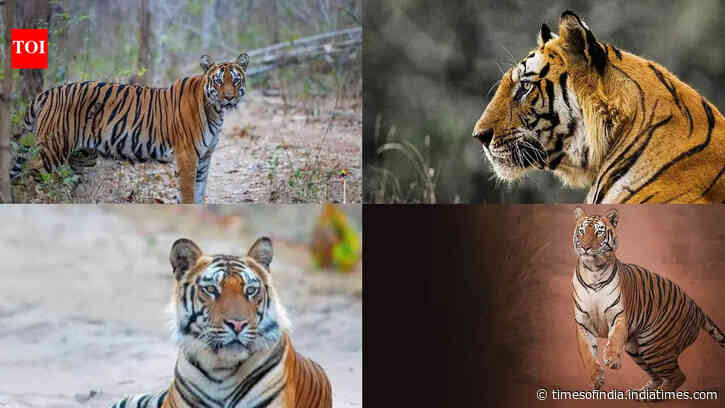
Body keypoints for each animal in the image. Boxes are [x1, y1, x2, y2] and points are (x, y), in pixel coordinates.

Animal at [13, 53, 249, 203]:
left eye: (235, 81)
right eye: (219, 81)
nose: (229, 98)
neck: (215, 111)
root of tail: (46, 93)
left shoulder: (204, 157)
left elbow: (199, 192)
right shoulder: (187, 155)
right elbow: (189, 194)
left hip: (81, 156)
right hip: (52, 148)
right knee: (28, 172)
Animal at [571, 207, 725, 397]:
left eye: (599, 232)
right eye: (581, 231)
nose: (585, 247)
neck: (594, 271)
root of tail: (694, 306)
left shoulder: (619, 315)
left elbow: (615, 338)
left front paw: (612, 359)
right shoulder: (583, 323)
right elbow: (587, 353)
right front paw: (596, 377)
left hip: (655, 346)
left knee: (677, 376)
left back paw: (656, 397)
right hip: (636, 349)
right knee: (659, 377)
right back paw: (642, 395)